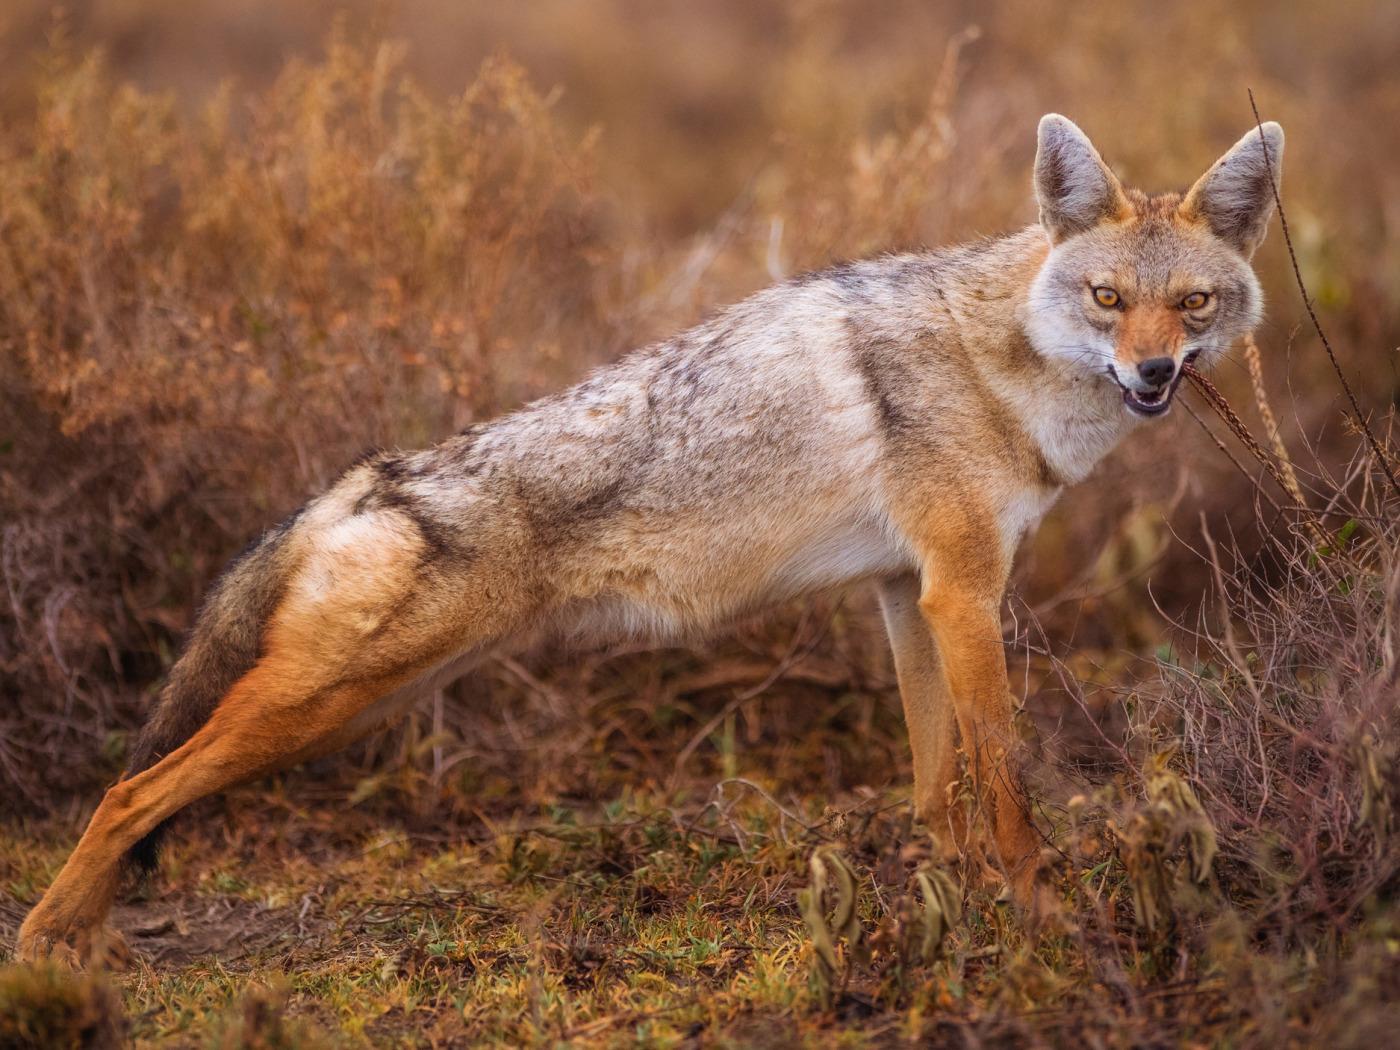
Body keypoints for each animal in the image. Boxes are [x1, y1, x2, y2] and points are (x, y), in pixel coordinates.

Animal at [17, 114, 1282, 966]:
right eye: (1107, 300)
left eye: (1192, 305)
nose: (1152, 375)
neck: (997, 362)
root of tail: (362, 479)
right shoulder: (963, 596)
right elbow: (1009, 790)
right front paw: (1040, 921)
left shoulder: (908, 595)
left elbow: (939, 791)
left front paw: (957, 906)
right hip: (323, 708)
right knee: (128, 793)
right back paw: (46, 946)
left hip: (361, 705)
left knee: (143, 791)